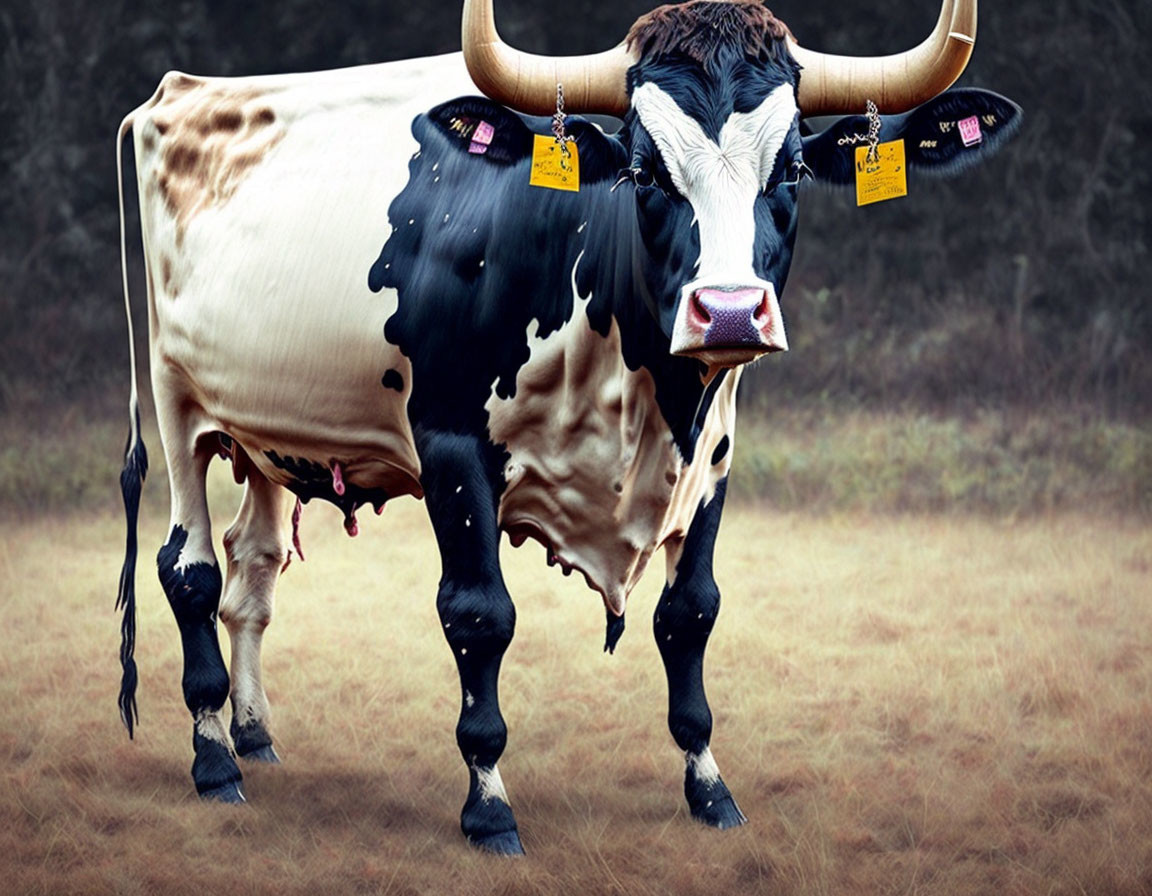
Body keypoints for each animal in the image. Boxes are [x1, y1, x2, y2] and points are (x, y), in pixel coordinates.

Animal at [114, 0, 1018, 852]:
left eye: (791, 165)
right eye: (645, 171)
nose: (729, 311)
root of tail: (179, 94)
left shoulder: (713, 459)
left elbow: (690, 614)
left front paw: (709, 787)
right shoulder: (451, 450)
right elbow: (479, 615)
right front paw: (488, 806)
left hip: (269, 433)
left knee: (253, 567)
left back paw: (255, 733)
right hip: (175, 401)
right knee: (187, 570)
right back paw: (214, 759)